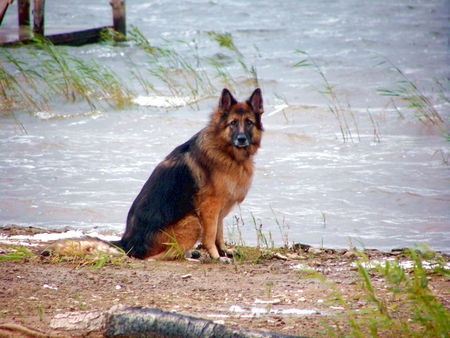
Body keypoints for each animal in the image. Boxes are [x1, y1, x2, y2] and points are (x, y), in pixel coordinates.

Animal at [46, 88, 260, 262]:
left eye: (249, 123)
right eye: (233, 123)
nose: (242, 139)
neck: (225, 150)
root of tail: (127, 242)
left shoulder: (221, 205)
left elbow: (219, 233)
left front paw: (224, 250)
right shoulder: (210, 207)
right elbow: (210, 235)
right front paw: (217, 256)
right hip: (193, 221)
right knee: (155, 258)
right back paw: (190, 257)